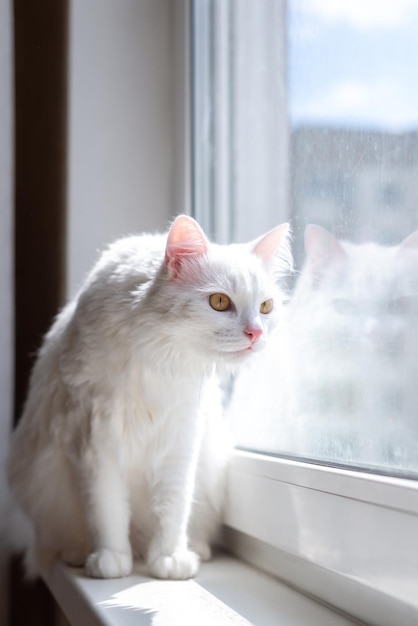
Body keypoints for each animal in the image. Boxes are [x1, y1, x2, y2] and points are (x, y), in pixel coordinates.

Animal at [8, 216, 292, 580]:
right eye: (219, 302)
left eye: (266, 307)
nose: (256, 333)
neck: (159, 359)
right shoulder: (95, 439)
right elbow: (107, 509)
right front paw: (111, 560)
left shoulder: (181, 437)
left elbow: (173, 507)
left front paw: (170, 558)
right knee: (65, 534)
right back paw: (80, 554)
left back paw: (194, 549)